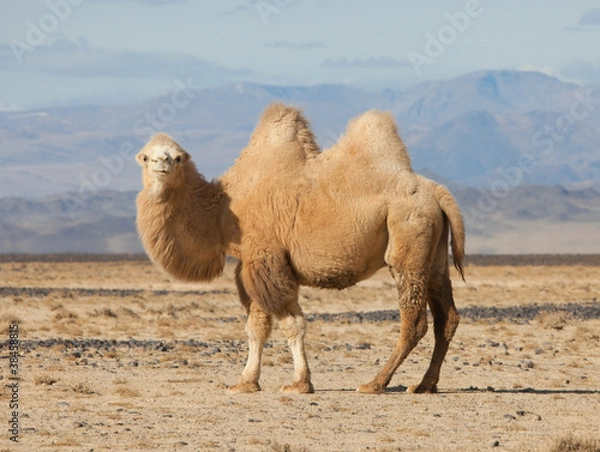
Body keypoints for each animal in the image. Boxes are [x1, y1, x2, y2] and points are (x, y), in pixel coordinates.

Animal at [135, 104, 464, 394]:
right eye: (146, 157)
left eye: (178, 157)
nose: (162, 163)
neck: (224, 211)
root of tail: (437, 192)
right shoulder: (251, 264)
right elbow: (257, 327)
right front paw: (246, 383)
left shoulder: (267, 260)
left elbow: (291, 325)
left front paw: (299, 384)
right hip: (434, 256)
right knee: (447, 317)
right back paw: (424, 385)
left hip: (408, 239)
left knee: (415, 321)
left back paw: (375, 383)